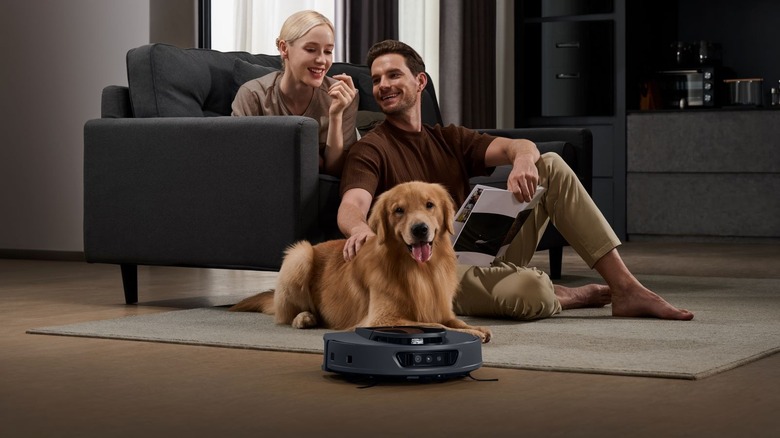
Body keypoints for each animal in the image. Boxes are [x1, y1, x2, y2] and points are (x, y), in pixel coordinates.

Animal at [229, 181, 490, 342]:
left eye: (430, 205)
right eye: (399, 210)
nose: (420, 229)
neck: (419, 271)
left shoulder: (440, 307)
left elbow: (453, 321)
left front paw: (475, 328)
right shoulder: (381, 319)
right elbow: (434, 325)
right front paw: (472, 335)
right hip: (299, 254)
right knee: (287, 314)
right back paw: (304, 318)